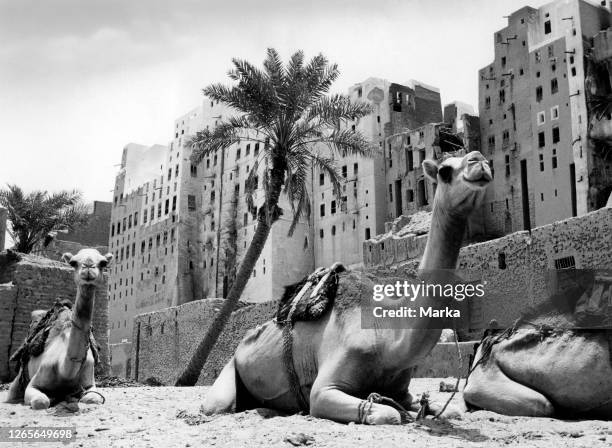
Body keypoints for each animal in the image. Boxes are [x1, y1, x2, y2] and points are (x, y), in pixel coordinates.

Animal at [5, 248, 112, 410]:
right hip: (19, 378)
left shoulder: (90, 383)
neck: (65, 371)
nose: (88, 267)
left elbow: (92, 398)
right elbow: (41, 401)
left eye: (103, 263)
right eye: (73, 262)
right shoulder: (35, 383)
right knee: (13, 392)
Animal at [201, 150, 492, 424]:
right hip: (229, 370)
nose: (479, 161)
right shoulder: (324, 390)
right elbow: (388, 414)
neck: (388, 337)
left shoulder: (403, 392)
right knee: (216, 405)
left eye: (482, 158)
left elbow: (449, 410)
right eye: (444, 171)